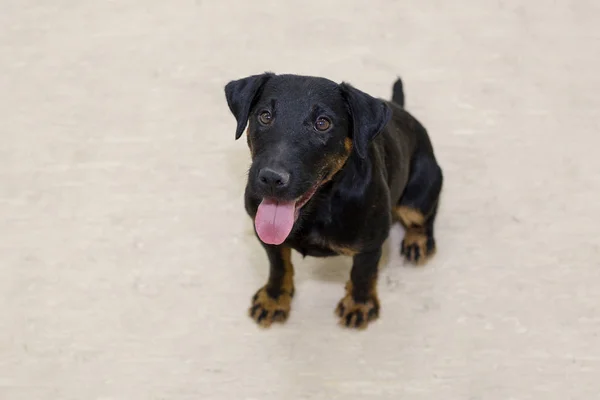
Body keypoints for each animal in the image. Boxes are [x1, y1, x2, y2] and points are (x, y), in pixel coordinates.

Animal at [223, 72, 442, 328]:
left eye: (323, 123)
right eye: (265, 116)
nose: (271, 178)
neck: (317, 207)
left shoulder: (370, 244)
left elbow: (362, 274)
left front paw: (358, 305)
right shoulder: (267, 237)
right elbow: (278, 265)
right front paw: (274, 299)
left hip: (419, 192)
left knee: (424, 215)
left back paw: (417, 242)